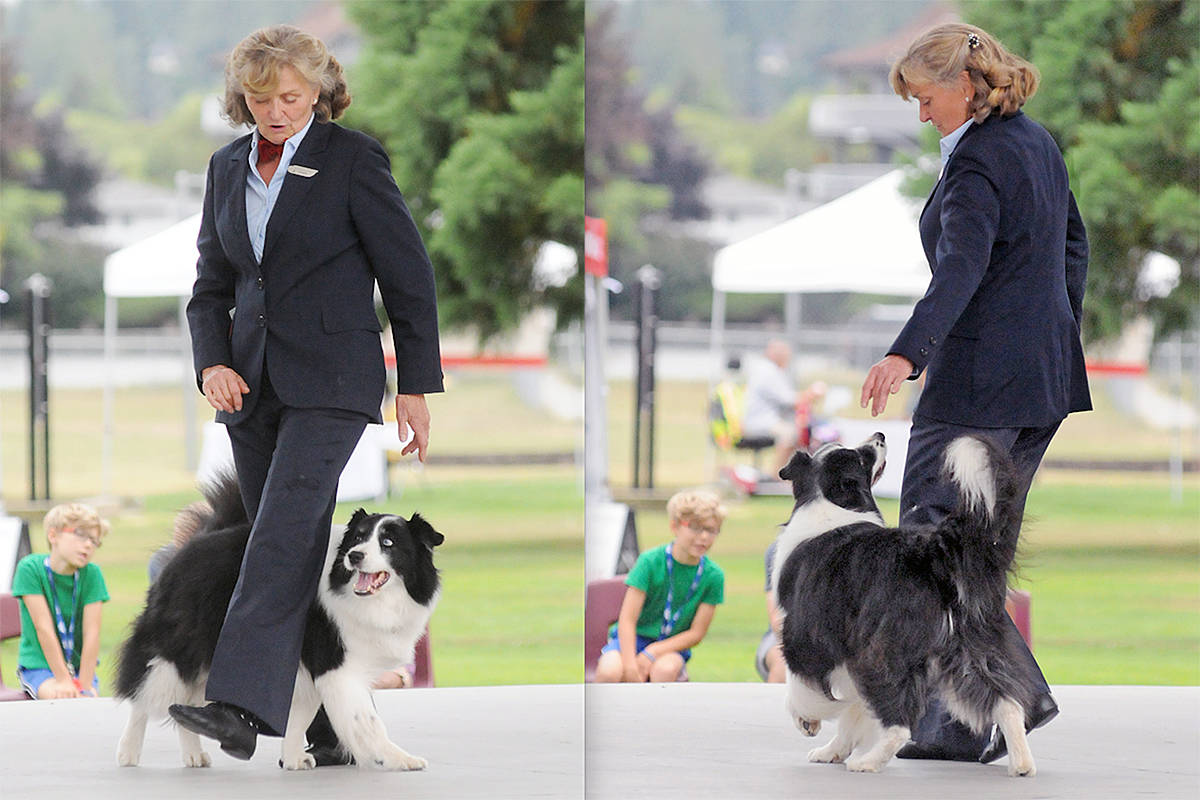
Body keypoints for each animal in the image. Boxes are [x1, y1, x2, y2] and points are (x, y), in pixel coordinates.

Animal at [111, 474, 441, 767]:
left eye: (388, 542)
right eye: (358, 538)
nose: (355, 556)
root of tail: (199, 539)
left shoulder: (311, 667)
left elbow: (302, 714)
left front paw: (294, 759)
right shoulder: (336, 664)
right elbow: (366, 720)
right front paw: (400, 760)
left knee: (184, 701)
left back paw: (194, 753)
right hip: (179, 646)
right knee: (145, 690)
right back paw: (128, 752)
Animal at [768, 431, 1041, 777]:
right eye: (860, 457)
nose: (879, 436)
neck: (829, 501)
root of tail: (932, 556)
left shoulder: (804, 636)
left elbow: (802, 689)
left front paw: (808, 721)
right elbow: (854, 712)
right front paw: (831, 751)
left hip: (881, 651)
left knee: (899, 725)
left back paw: (867, 763)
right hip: (966, 650)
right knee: (1006, 702)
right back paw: (1022, 764)